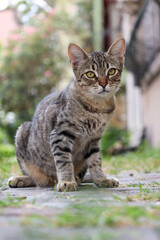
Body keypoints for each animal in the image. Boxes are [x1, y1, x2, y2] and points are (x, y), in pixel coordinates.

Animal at [8, 37, 125, 191]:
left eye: (111, 71)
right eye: (90, 74)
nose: (103, 84)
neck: (98, 107)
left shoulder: (94, 138)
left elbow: (96, 161)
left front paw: (101, 179)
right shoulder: (61, 133)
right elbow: (64, 161)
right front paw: (67, 181)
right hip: (21, 132)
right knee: (37, 179)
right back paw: (20, 179)